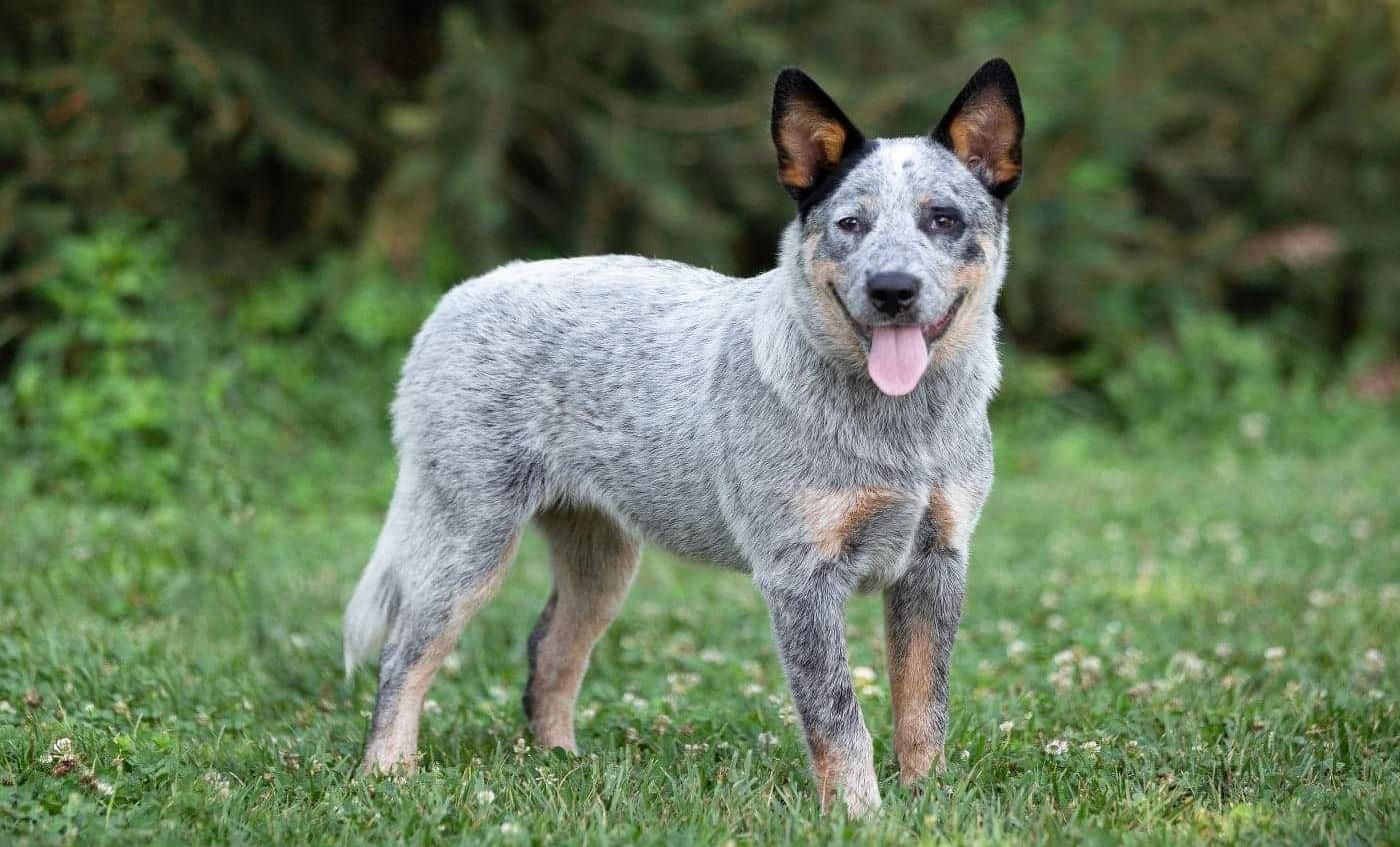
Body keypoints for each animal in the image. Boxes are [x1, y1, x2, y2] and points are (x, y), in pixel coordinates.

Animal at [347, 57, 1030, 812]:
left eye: (943, 218)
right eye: (851, 222)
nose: (892, 288)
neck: (902, 429)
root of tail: (454, 300)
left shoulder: (937, 559)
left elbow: (924, 705)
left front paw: (928, 800)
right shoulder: (800, 577)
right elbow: (837, 716)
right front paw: (860, 814)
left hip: (602, 553)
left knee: (549, 646)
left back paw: (559, 763)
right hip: (469, 535)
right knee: (405, 652)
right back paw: (387, 774)